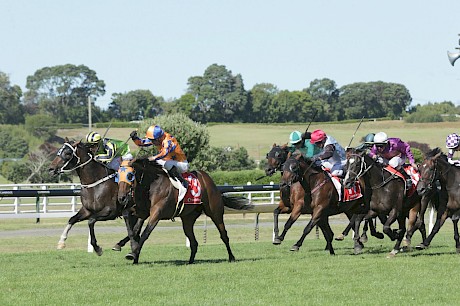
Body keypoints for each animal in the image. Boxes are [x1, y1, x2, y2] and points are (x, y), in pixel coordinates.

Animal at [115, 159, 252, 264]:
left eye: (130, 175)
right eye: (117, 175)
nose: (121, 198)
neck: (153, 184)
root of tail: (209, 180)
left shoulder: (156, 213)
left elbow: (145, 233)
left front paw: (132, 254)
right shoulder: (143, 211)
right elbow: (132, 228)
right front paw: (124, 247)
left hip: (215, 213)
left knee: (224, 235)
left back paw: (231, 257)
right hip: (188, 219)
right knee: (194, 242)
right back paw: (190, 261)